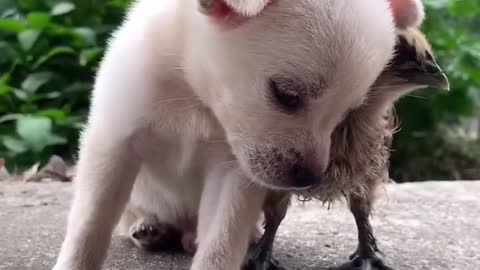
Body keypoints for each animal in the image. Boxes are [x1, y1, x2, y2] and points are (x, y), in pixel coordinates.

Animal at [51, 0, 402, 270]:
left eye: (347, 114)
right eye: (287, 95)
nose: (309, 179)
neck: (194, 97)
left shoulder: (233, 175)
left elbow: (220, 245)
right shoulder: (114, 143)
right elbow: (89, 227)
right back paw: (150, 227)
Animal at [248, 22, 450, 270]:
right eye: (395, 52)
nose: (438, 74)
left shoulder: (367, 173)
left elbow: (361, 212)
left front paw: (367, 255)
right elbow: (275, 215)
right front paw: (262, 257)